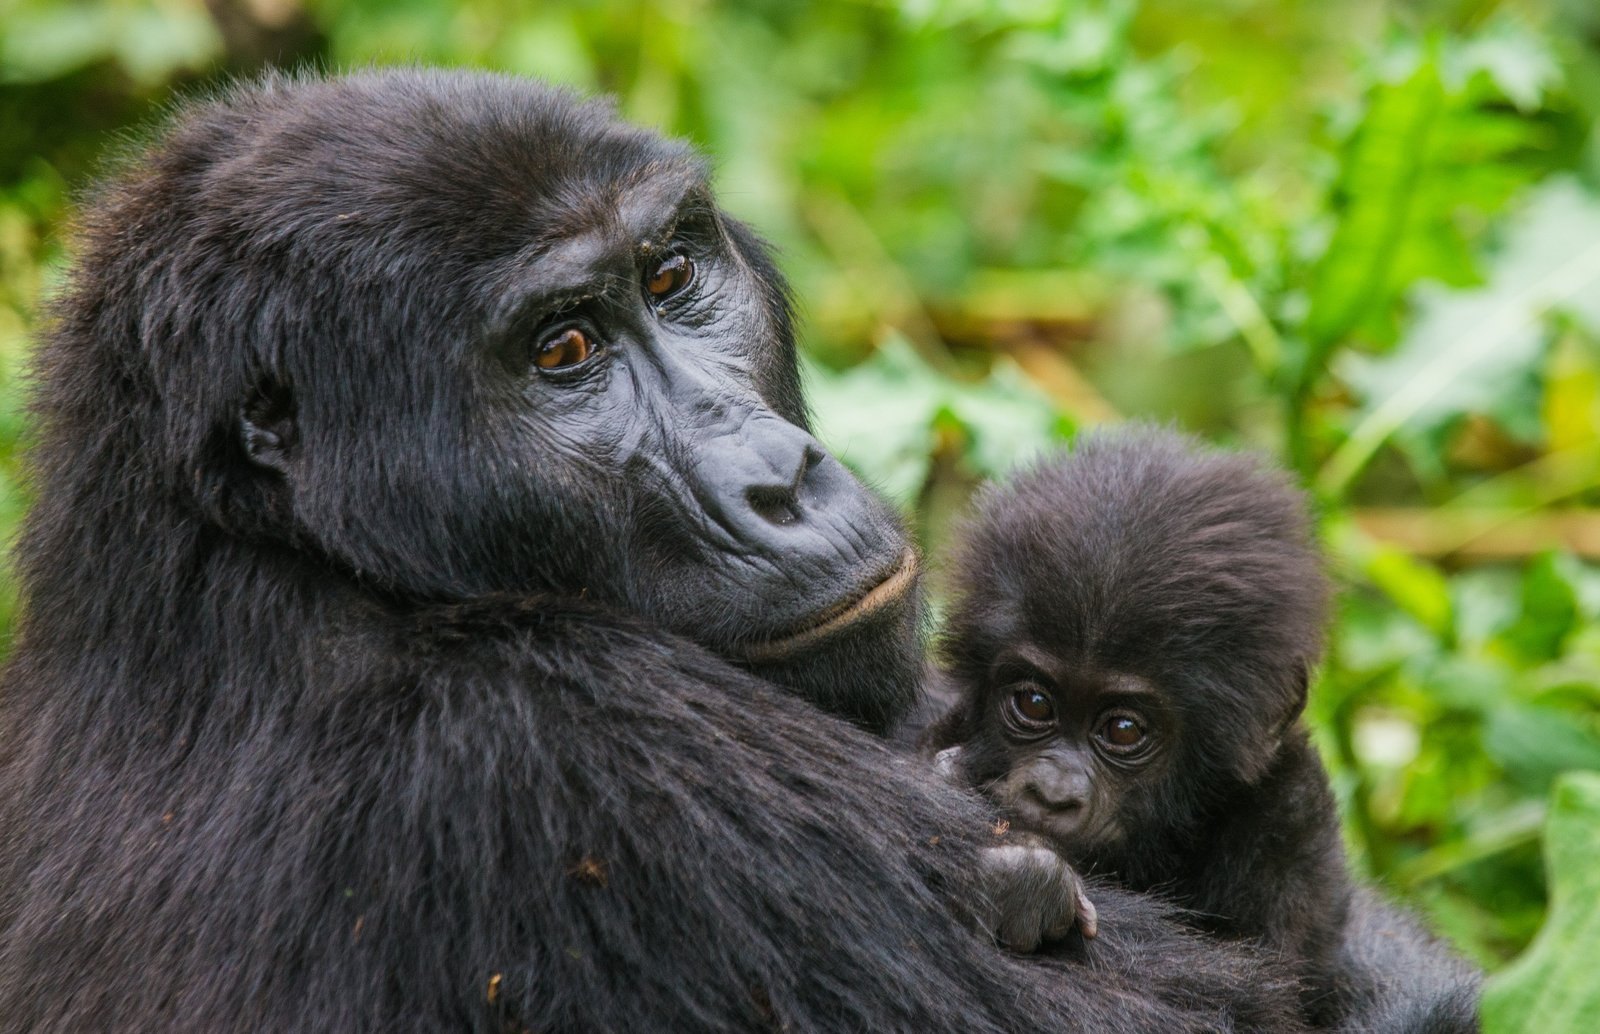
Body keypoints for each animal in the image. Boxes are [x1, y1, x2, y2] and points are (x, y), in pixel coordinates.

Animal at [934, 428, 1478, 1030]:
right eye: (1033, 702)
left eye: (1123, 730)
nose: (1051, 794)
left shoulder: (1289, 817)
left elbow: (1268, 1003)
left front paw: (1025, 881)